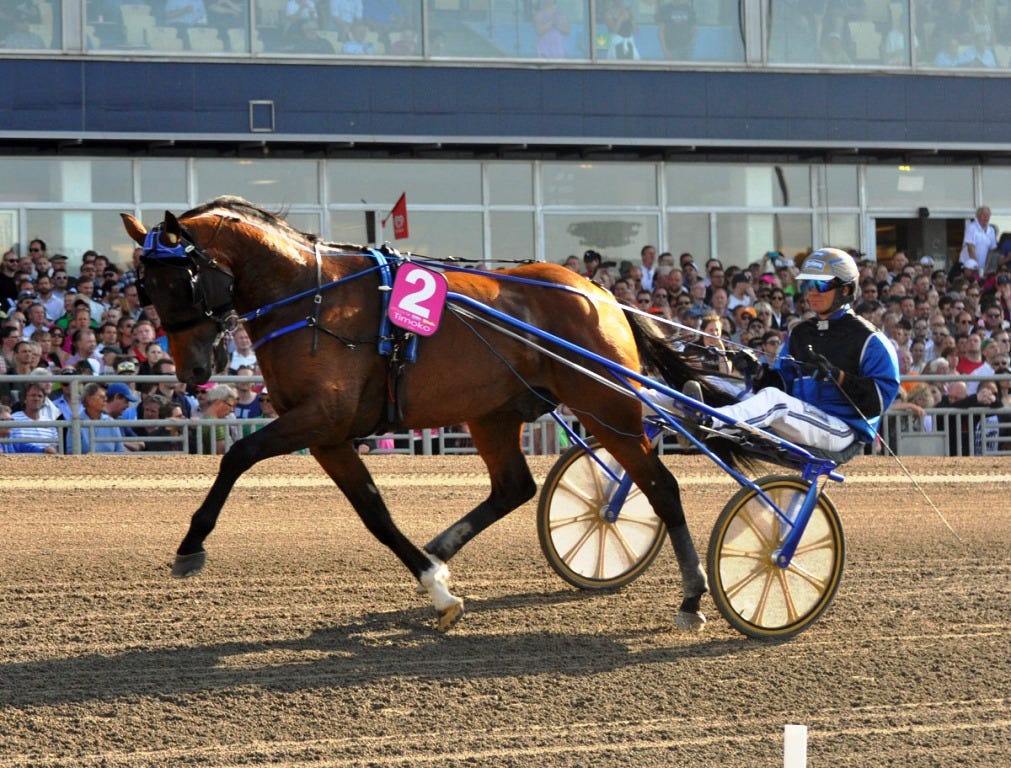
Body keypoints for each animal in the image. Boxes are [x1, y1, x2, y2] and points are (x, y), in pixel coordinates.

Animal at [121, 196, 746, 633]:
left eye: (181, 281)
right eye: (144, 288)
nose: (193, 369)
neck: (310, 296)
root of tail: (601, 292)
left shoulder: (321, 418)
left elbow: (239, 454)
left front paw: (190, 547)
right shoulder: (327, 433)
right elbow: (373, 511)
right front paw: (436, 582)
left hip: (607, 403)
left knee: (660, 486)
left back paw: (693, 596)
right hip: (495, 412)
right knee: (515, 488)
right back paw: (441, 548)